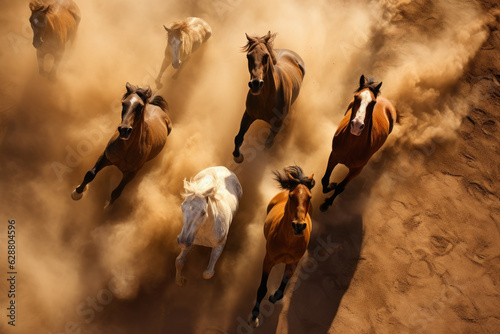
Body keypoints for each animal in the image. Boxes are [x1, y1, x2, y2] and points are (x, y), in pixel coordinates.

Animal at [232, 31, 306, 163]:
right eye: (248, 56)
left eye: (266, 56)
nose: (255, 84)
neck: (266, 99)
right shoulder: (248, 114)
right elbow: (238, 137)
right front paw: (238, 157)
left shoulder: (277, 123)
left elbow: (267, 144)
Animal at [249, 166, 314, 328]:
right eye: (292, 196)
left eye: (309, 197)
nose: (298, 226)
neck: (289, 242)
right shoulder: (268, 260)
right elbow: (262, 289)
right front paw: (254, 317)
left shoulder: (293, 263)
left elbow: (281, 290)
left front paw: (273, 297)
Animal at [320, 75, 398, 211]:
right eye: (356, 97)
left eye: (373, 102)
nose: (357, 126)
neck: (351, 146)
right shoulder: (333, 156)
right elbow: (325, 180)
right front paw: (331, 185)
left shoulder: (356, 171)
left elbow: (340, 187)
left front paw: (326, 203)